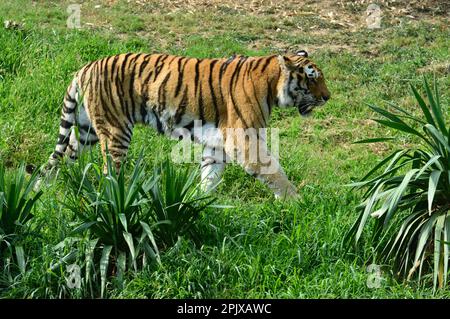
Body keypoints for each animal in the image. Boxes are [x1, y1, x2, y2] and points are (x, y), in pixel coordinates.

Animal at [39, 49, 330, 200]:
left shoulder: (218, 145)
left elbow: (210, 175)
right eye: (311, 78)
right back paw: (117, 199)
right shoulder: (245, 140)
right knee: (110, 170)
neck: (272, 86)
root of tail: (85, 68)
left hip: (86, 131)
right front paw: (297, 203)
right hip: (115, 132)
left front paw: (200, 202)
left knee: (64, 156)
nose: (328, 97)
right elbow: (274, 171)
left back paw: (54, 189)